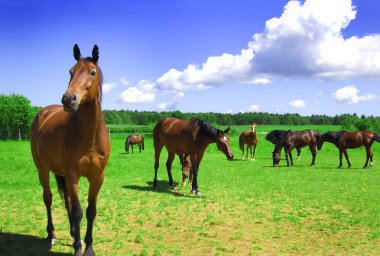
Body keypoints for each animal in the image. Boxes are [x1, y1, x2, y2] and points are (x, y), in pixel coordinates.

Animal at [30, 45, 109, 255]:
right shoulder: (73, 175)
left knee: (66, 201)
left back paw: (74, 234)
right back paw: (51, 234)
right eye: (71, 72)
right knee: (48, 199)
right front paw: (78, 249)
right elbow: (78, 211)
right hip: (42, 169)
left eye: (92, 72)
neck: (89, 137)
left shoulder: (98, 176)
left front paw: (88, 246)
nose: (68, 99)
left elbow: (90, 211)